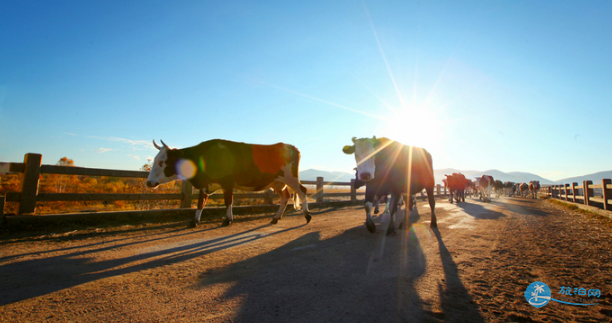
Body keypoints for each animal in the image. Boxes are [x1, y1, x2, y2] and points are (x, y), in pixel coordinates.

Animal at [146, 139, 310, 228]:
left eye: (162, 162)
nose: (148, 182)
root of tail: (291, 147)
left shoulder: (227, 183)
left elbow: (228, 201)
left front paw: (228, 219)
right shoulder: (205, 185)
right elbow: (200, 203)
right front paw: (194, 221)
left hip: (291, 178)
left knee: (302, 191)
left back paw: (307, 215)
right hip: (278, 182)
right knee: (285, 197)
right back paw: (276, 218)